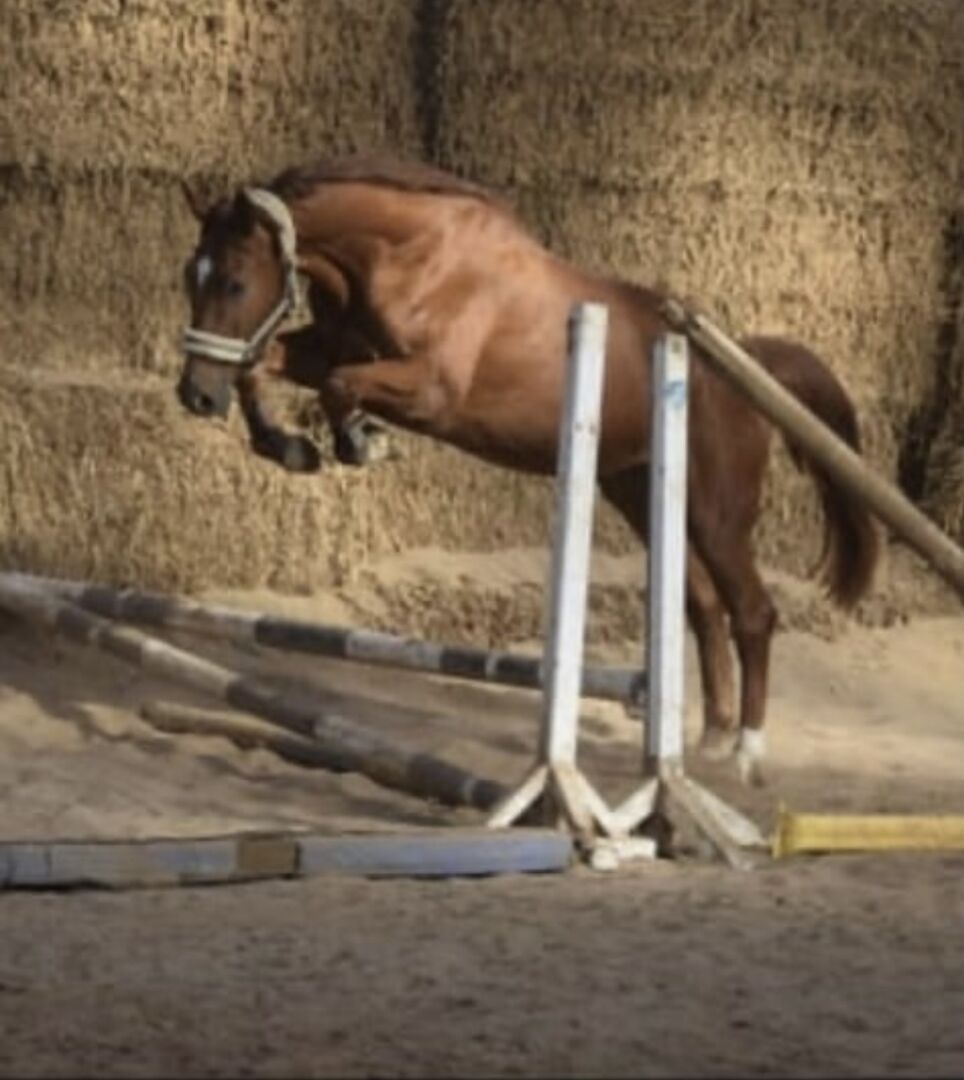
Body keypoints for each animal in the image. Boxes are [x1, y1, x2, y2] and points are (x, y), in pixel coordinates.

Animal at [176, 153, 879, 785]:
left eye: (234, 283)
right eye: (191, 276)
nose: (194, 398)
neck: (405, 258)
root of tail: (747, 367)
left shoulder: (431, 392)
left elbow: (339, 386)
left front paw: (359, 442)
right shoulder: (328, 348)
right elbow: (260, 367)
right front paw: (289, 447)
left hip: (716, 512)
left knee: (753, 611)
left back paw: (745, 755)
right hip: (639, 492)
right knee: (703, 605)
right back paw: (704, 741)